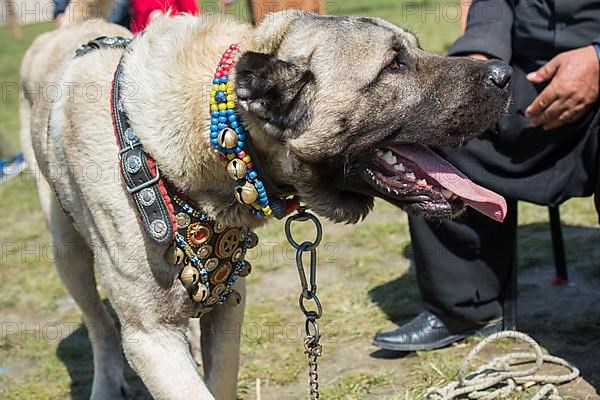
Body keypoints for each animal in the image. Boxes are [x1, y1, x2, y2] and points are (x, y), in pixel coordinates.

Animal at [19, 0, 510, 396]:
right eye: (393, 65)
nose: (504, 73)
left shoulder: (228, 307)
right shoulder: (150, 337)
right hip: (68, 255)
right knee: (100, 329)